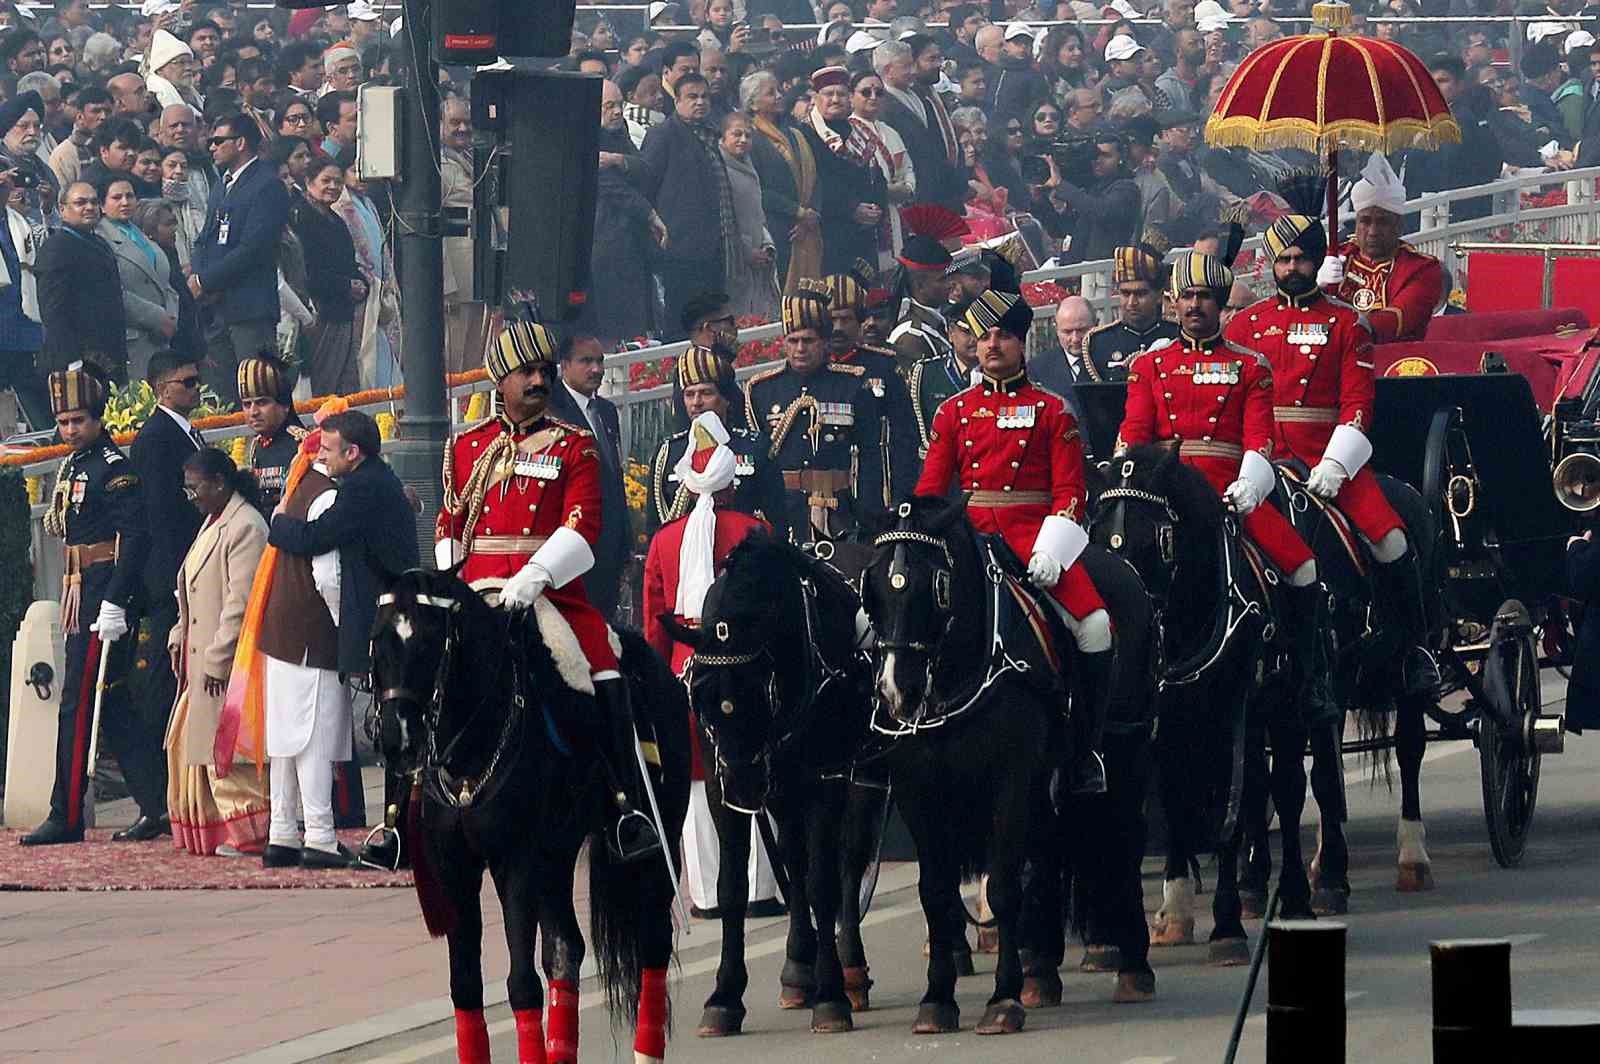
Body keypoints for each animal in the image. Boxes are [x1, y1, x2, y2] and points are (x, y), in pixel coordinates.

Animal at [371, 569, 691, 1062]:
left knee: (651, 940)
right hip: (556, 854)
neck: (471, 747)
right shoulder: (455, 867)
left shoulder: (516, 859)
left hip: (657, 840)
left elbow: (521, 985)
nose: (397, 740)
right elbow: (466, 988)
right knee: (565, 949)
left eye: (428, 641)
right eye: (378, 640)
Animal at [662, 534, 889, 1030]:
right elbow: (732, 886)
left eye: (760, 689)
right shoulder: (719, 786)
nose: (747, 788)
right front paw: (724, 996)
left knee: (849, 861)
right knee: (794, 861)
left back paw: (850, 968)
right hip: (784, 789)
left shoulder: (824, 779)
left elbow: (824, 882)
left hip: (862, 773)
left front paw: (831, 996)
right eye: (701, 695)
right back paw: (798, 967)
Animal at [864, 492, 1152, 1030]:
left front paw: (1002, 999)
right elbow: (936, 893)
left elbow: (1001, 888)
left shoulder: (1010, 781)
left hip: (1128, 756)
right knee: (1046, 857)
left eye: (937, 586)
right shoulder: (918, 790)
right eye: (870, 588)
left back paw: (1134, 967)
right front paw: (937, 998)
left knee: (1124, 843)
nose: (897, 692)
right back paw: (1042, 974)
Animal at [1094, 438, 1318, 953]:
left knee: (1286, 790)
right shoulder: (1167, 725)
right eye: (1096, 535)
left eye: (1158, 539)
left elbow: (1228, 813)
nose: (1127, 626)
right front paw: (1175, 908)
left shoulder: (1228, 716)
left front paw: (1227, 923)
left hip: (1285, 707)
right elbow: (1177, 800)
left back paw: (1296, 895)